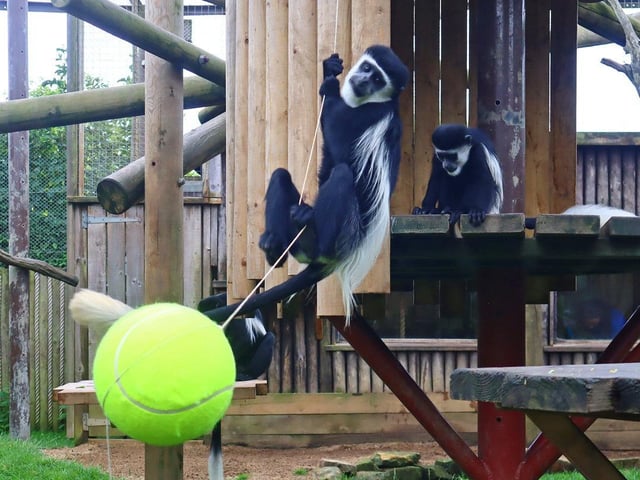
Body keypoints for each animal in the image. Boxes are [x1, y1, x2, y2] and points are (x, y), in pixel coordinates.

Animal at [199, 45, 409, 324]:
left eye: (377, 79)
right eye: (367, 68)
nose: (363, 80)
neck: (371, 102)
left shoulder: (370, 116)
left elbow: (340, 144)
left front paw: (329, 86)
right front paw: (330, 67)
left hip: (345, 233)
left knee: (342, 175)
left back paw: (313, 233)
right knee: (280, 177)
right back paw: (274, 245)